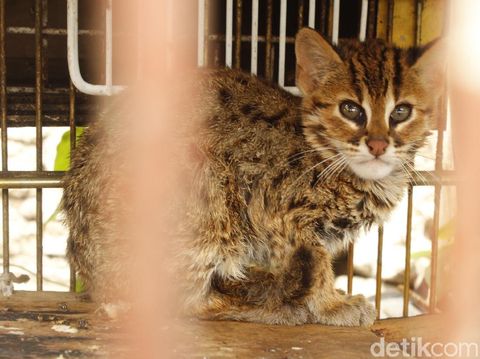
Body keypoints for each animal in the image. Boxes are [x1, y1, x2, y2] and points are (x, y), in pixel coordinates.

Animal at [62, 26, 444, 328]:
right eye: (351, 109)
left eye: (401, 112)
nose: (378, 145)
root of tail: (90, 273)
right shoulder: (278, 214)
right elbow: (319, 264)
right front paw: (330, 305)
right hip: (208, 187)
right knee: (181, 304)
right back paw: (272, 307)